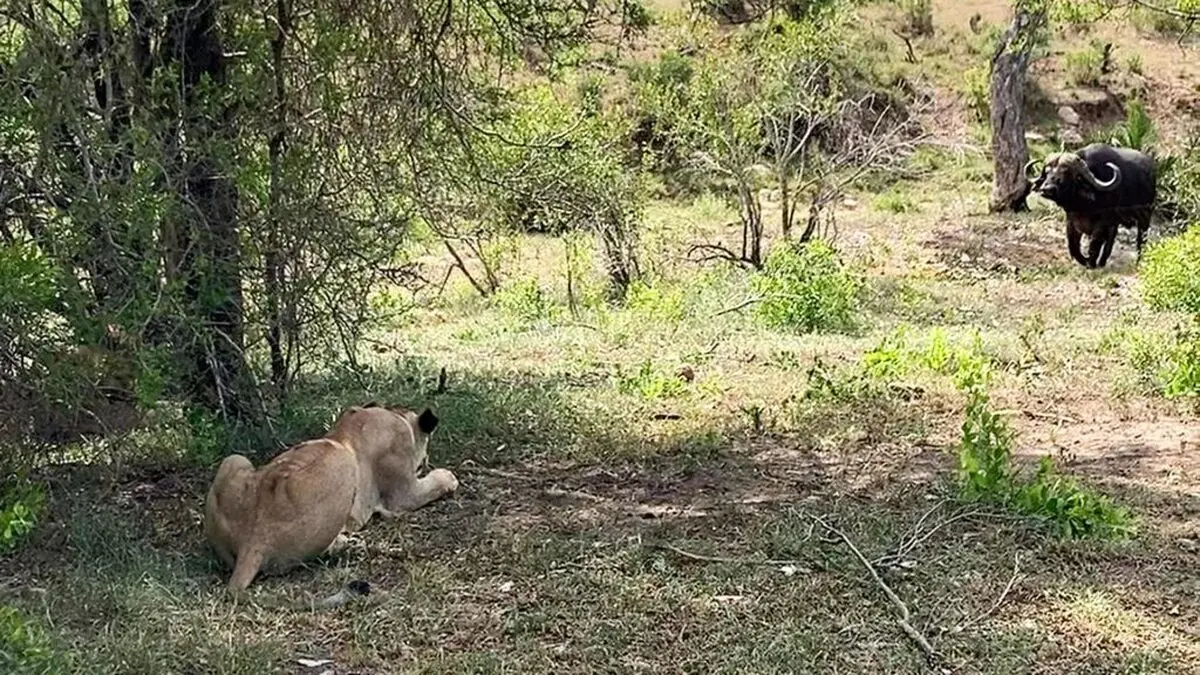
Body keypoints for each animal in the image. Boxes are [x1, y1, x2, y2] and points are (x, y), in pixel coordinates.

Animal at [203, 403, 459, 600]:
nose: (425, 462)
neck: (395, 414)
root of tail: (252, 541)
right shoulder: (403, 494)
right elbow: (435, 482)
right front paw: (449, 478)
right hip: (341, 460)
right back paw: (347, 544)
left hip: (234, 459)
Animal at [1025, 143, 1157, 269]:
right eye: (1047, 172)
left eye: (1066, 173)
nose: (1047, 189)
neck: (1083, 206)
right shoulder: (1071, 222)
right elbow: (1073, 247)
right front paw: (1085, 261)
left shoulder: (1101, 224)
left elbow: (1094, 245)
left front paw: (1090, 263)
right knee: (1111, 240)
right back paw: (1102, 262)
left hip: (1145, 217)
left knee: (1141, 239)